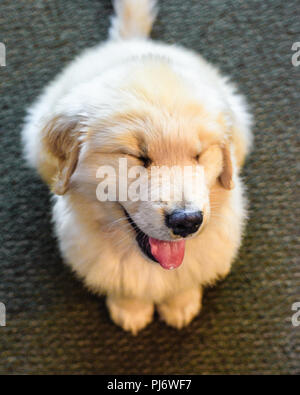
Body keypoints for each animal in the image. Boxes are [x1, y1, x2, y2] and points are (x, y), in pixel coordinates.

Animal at [21, 0, 251, 336]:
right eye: (137, 157)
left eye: (199, 156)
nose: (187, 221)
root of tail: (132, 42)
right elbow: (125, 287)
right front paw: (130, 309)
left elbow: (185, 279)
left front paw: (181, 304)